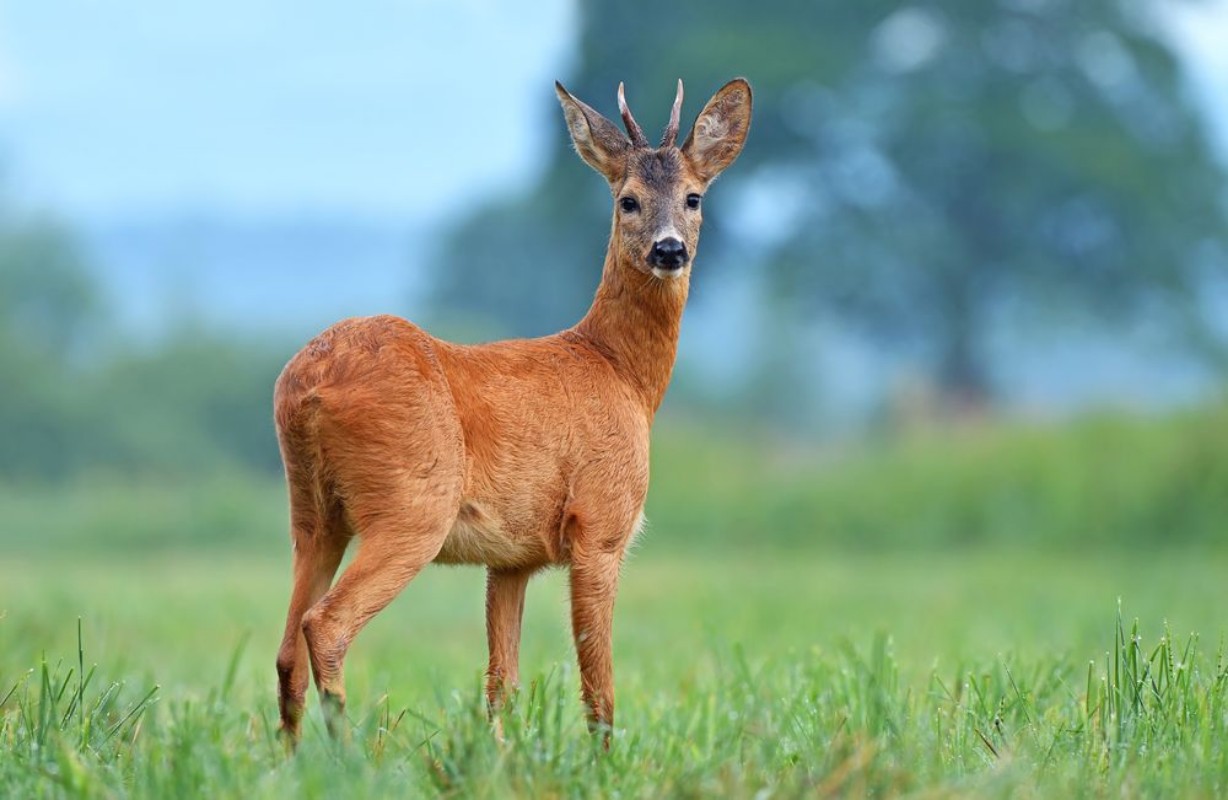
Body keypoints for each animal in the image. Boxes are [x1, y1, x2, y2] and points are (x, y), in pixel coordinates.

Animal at [272, 77, 752, 747]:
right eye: (627, 200)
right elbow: (599, 687)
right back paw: (350, 756)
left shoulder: (512, 559)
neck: (619, 371)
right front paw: (603, 761)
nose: (669, 249)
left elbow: (501, 683)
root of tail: (308, 386)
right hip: (411, 505)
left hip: (314, 514)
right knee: (326, 625)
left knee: (287, 650)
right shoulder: (601, 524)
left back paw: (292, 761)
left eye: (693, 197)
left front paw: (500, 757)